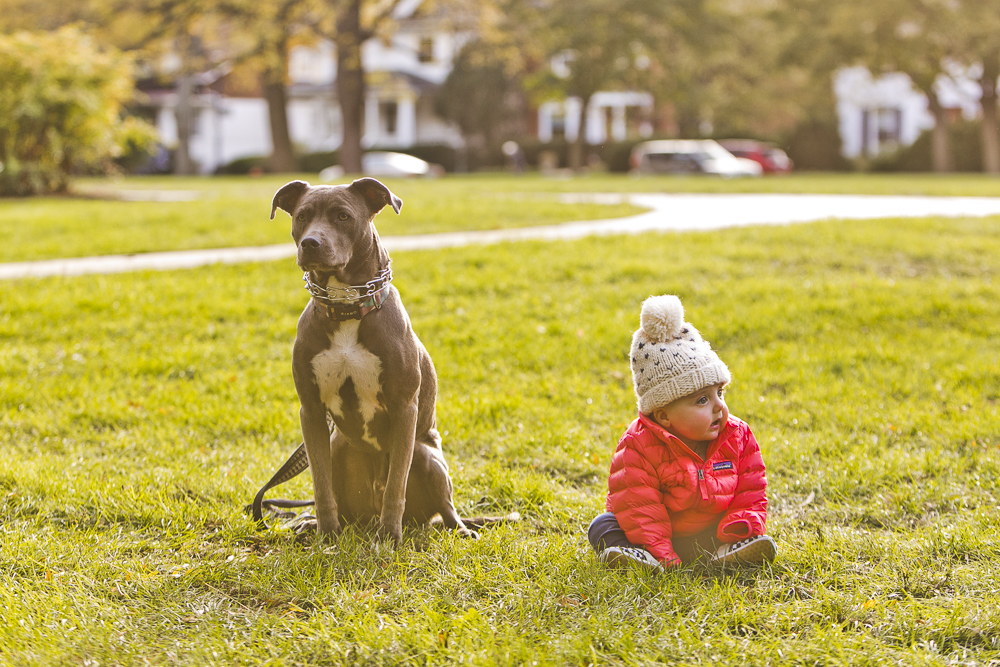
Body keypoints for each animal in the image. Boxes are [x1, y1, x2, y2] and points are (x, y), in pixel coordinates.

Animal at [270, 179, 476, 548]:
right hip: (337, 445)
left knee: (445, 508)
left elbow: (396, 484)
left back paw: (459, 529)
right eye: (302, 216)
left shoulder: (404, 408)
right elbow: (320, 485)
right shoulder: (311, 411)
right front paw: (326, 535)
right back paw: (313, 523)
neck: (347, 307)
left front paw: (390, 536)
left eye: (343, 216)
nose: (310, 243)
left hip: (428, 457)